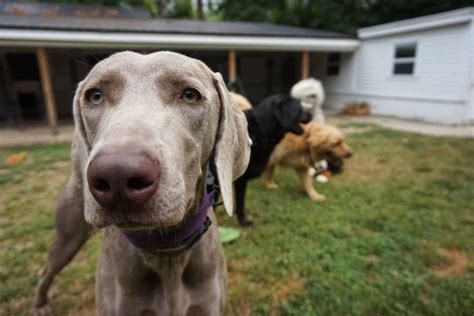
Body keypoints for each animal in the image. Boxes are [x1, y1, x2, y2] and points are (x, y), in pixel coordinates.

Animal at [31, 51, 250, 316]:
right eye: (95, 96)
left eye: (190, 95)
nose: (117, 174)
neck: (165, 253)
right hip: (68, 235)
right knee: (47, 269)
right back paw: (40, 303)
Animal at [234, 95, 312, 226]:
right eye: (300, 109)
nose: (312, 114)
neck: (261, 129)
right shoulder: (239, 180)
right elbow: (239, 203)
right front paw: (243, 221)